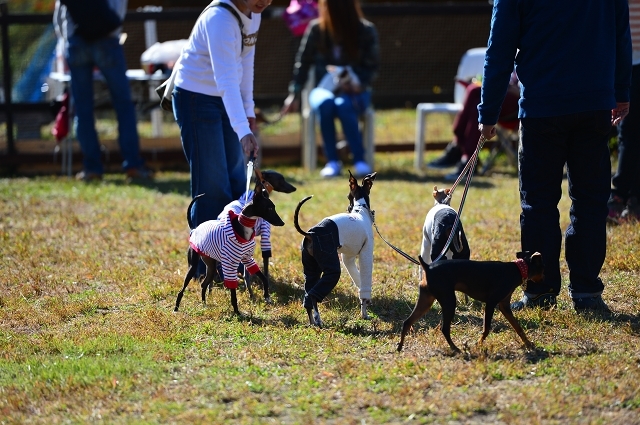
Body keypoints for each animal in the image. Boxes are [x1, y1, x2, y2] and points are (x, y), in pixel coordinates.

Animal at [175, 173, 284, 314]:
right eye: (270, 208)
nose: (282, 223)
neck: (243, 227)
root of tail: (194, 229)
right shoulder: (230, 264)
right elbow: (233, 291)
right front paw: (237, 312)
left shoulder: (247, 259)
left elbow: (263, 277)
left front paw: (266, 296)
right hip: (193, 266)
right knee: (182, 289)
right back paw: (176, 309)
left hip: (211, 265)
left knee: (204, 284)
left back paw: (204, 304)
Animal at [294, 169, 378, 324]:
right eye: (348, 196)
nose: (348, 208)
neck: (360, 210)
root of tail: (311, 233)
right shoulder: (366, 252)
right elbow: (364, 287)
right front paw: (365, 312)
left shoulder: (348, 258)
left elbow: (359, 282)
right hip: (330, 264)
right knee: (314, 294)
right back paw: (318, 320)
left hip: (310, 266)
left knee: (308, 295)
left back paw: (313, 321)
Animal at [398, 252, 544, 352]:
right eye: (544, 268)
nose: (543, 281)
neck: (517, 270)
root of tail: (427, 267)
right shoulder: (491, 304)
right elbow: (486, 329)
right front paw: (478, 344)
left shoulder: (504, 306)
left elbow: (518, 327)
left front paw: (528, 344)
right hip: (449, 301)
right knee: (444, 328)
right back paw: (455, 348)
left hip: (426, 301)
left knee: (407, 322)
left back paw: (400, 347)